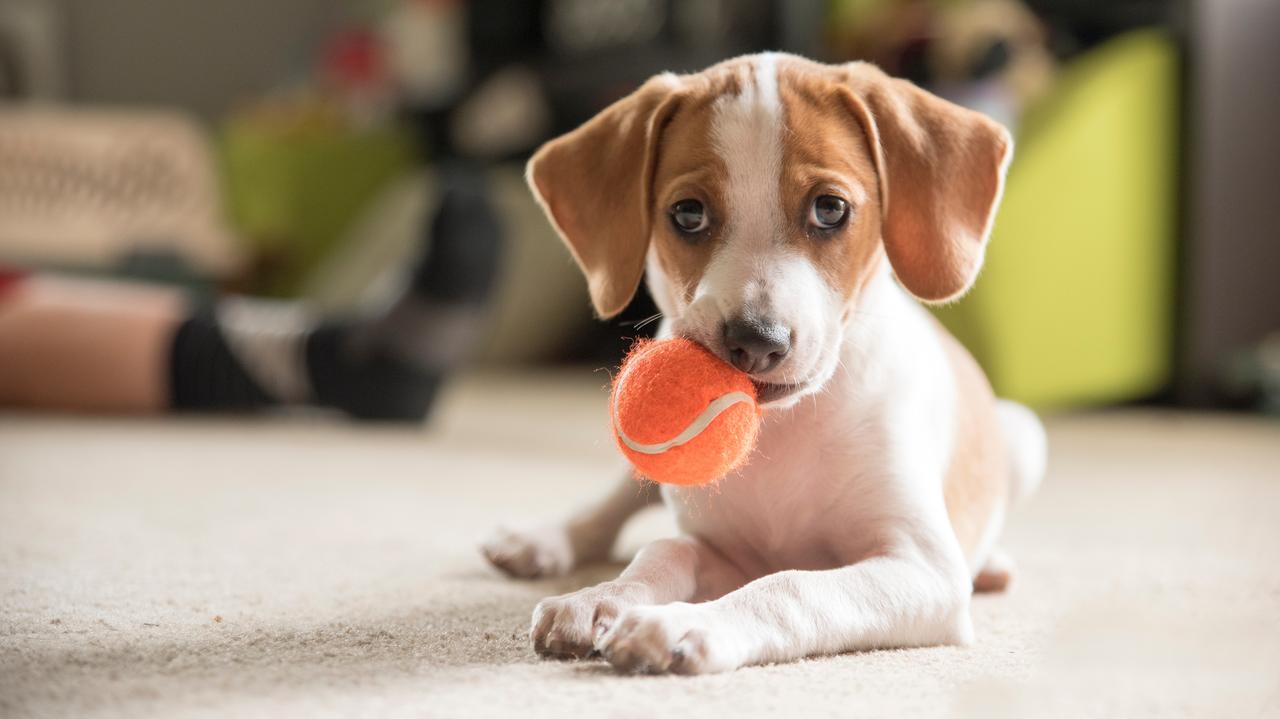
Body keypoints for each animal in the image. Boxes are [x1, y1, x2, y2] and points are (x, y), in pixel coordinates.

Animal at [483, 51, 1044, 670]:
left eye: (830, 208)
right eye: (687, 213)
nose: (755, 341)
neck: (785, 429)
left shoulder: (924, 571)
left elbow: (790, 586)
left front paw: (683, 623)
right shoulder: (723, 549)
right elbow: (665, 550)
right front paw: (603, 596)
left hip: (1023, 436)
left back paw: (993, 565)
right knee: (619, 499)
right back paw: (544, 540)